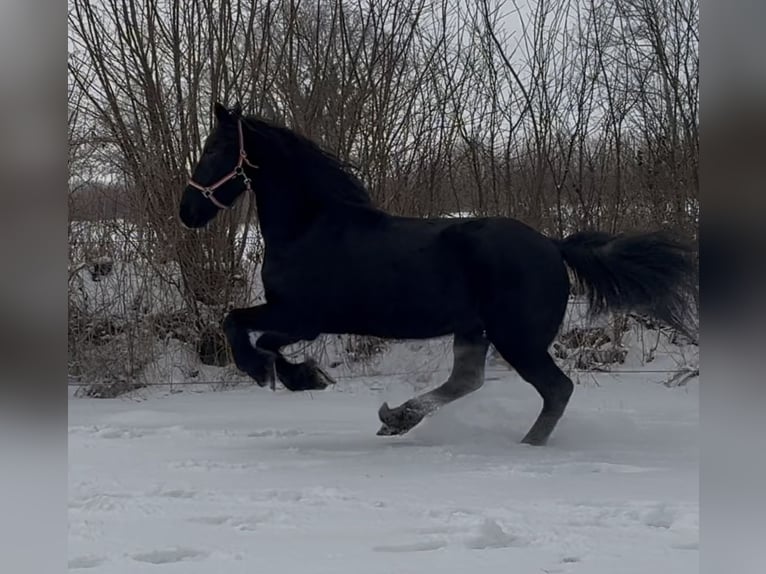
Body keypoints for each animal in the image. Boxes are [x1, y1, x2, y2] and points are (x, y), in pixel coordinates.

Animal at [179, 103, 697, 446]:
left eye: (215, 147)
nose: (187, 212)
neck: (309, 225)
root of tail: (554, 245)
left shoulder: (300, 316)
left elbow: (241, 328)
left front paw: (291, 376)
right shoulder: (298, 319)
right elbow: (252, 333)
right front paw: (299, 375)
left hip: (517, 338)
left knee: (556, 389)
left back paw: (526, 447)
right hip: (475, 330)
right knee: (468, 380)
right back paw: (399, 417)